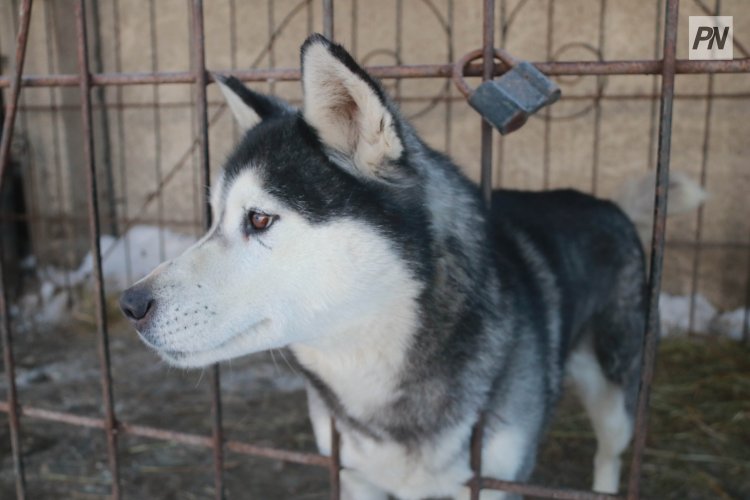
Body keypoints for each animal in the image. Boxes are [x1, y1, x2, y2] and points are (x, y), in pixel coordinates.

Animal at [120, 34, 692, 496]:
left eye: (259, 219)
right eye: (214, 218)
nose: (129, 303)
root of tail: (603, 202)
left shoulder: (491, 481)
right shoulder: (356, 478)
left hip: (616, 389)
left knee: (609, 451)